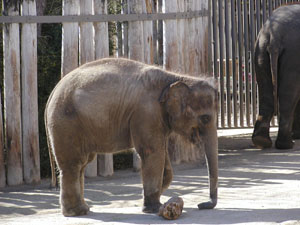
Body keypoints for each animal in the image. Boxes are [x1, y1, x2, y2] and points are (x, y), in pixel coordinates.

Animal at [44, 57, 218, 216]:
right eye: (205, 118)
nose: (201, 205)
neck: (175, 78)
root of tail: (52, 92)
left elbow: (162, 157)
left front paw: (155, 200)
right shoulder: (146, 113)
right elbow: (152, 152)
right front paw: (153, 208)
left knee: (82, 164)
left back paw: (84, 209)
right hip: (66, 123)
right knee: (74, 164)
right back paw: (76, 212)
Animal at [252, 3, 300, 149]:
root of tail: (275, 33)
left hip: (260, 50)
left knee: (265, 93)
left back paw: (261, 141)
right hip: (293, 54)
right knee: (288, 96)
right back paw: (286, 145)